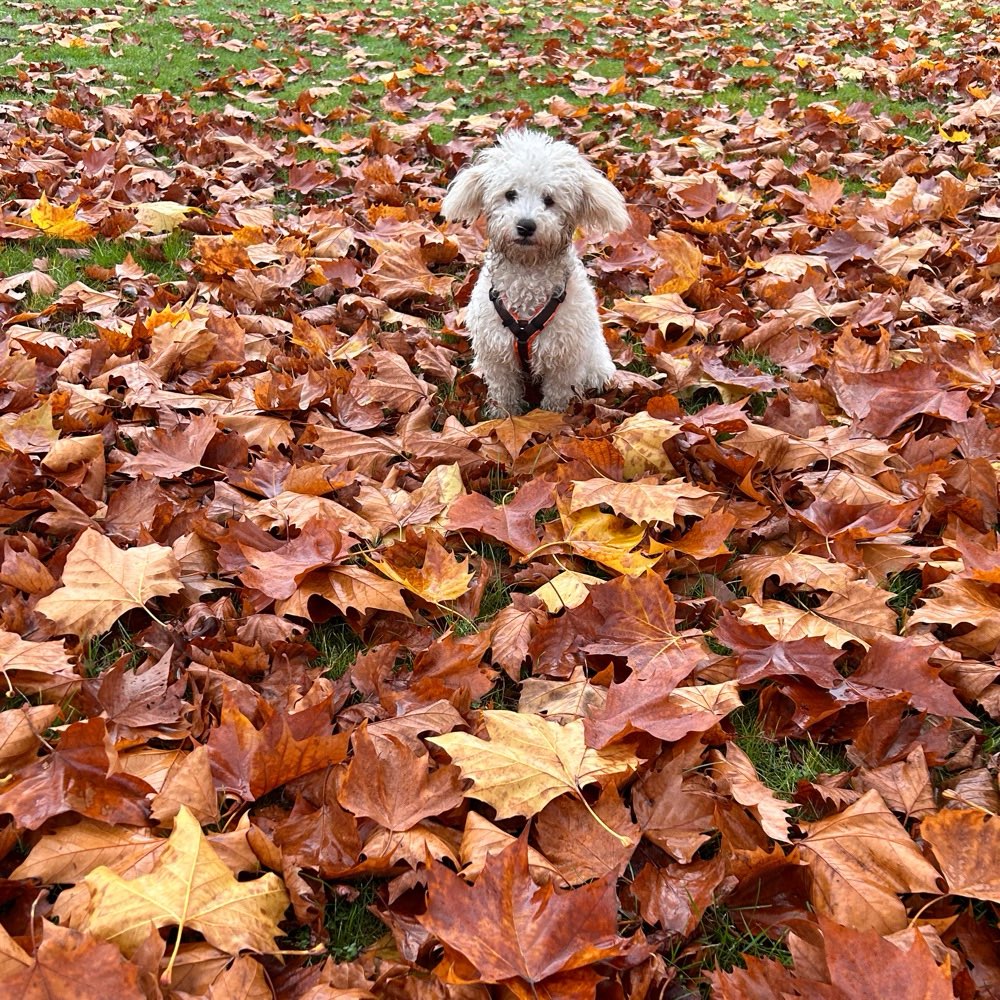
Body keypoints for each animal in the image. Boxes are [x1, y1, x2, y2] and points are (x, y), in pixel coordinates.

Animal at [444, 132, 628, 414]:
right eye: (510, 194)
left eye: (549, 200)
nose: (525, 225)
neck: (527, 274)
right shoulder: (497, 355)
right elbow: (504, 392)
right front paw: (504, 416)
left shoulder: (563, 358)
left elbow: (557, 396)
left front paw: (551, 417)